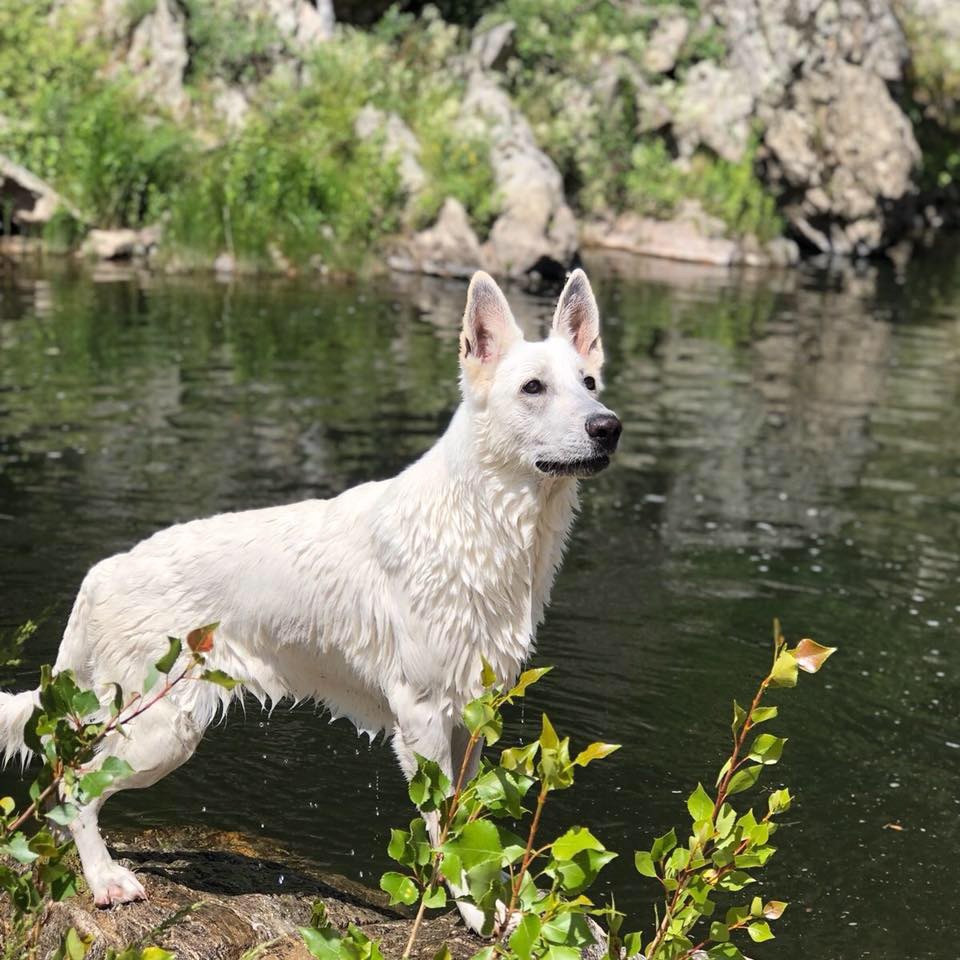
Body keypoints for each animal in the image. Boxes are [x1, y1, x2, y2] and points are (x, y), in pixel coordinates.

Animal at [0, 266, 624, 928]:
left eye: (588, 383)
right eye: (533, 387)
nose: (607, 427)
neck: (483, 520)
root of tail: (105, 570)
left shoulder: (473, 719)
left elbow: (467, 823)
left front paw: (492, 909)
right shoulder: (422, 717)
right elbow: (442, 832)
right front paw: (476, 917)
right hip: (162, 732)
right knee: (76, 785)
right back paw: (103, 879)